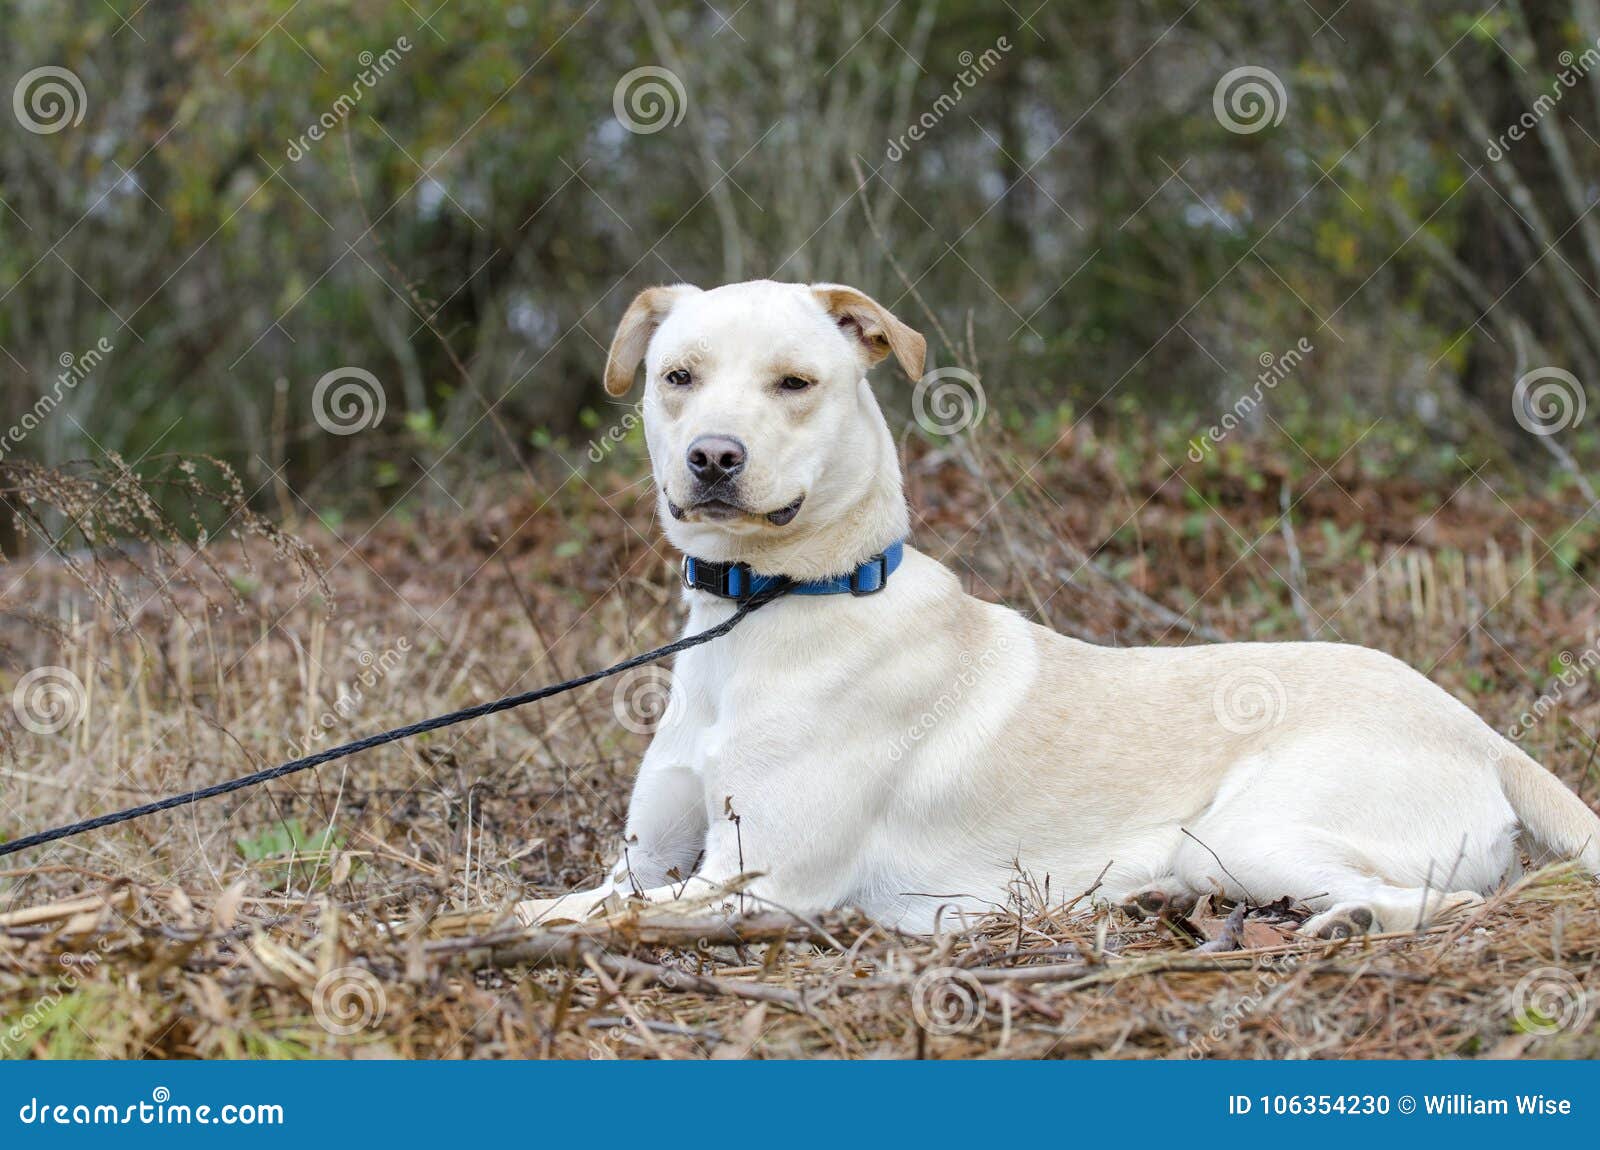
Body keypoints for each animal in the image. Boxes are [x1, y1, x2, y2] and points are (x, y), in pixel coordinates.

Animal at [518, 278, 1593, 934]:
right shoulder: (648, 862)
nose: (713, 458)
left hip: (1250, 836)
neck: (772, 601)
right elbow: (588, 898)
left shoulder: (765, 882)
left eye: (795, 382)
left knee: (1456, 902)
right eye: (677, 378)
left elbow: (557, 914)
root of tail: (1479, 730)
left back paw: (1347, 921)